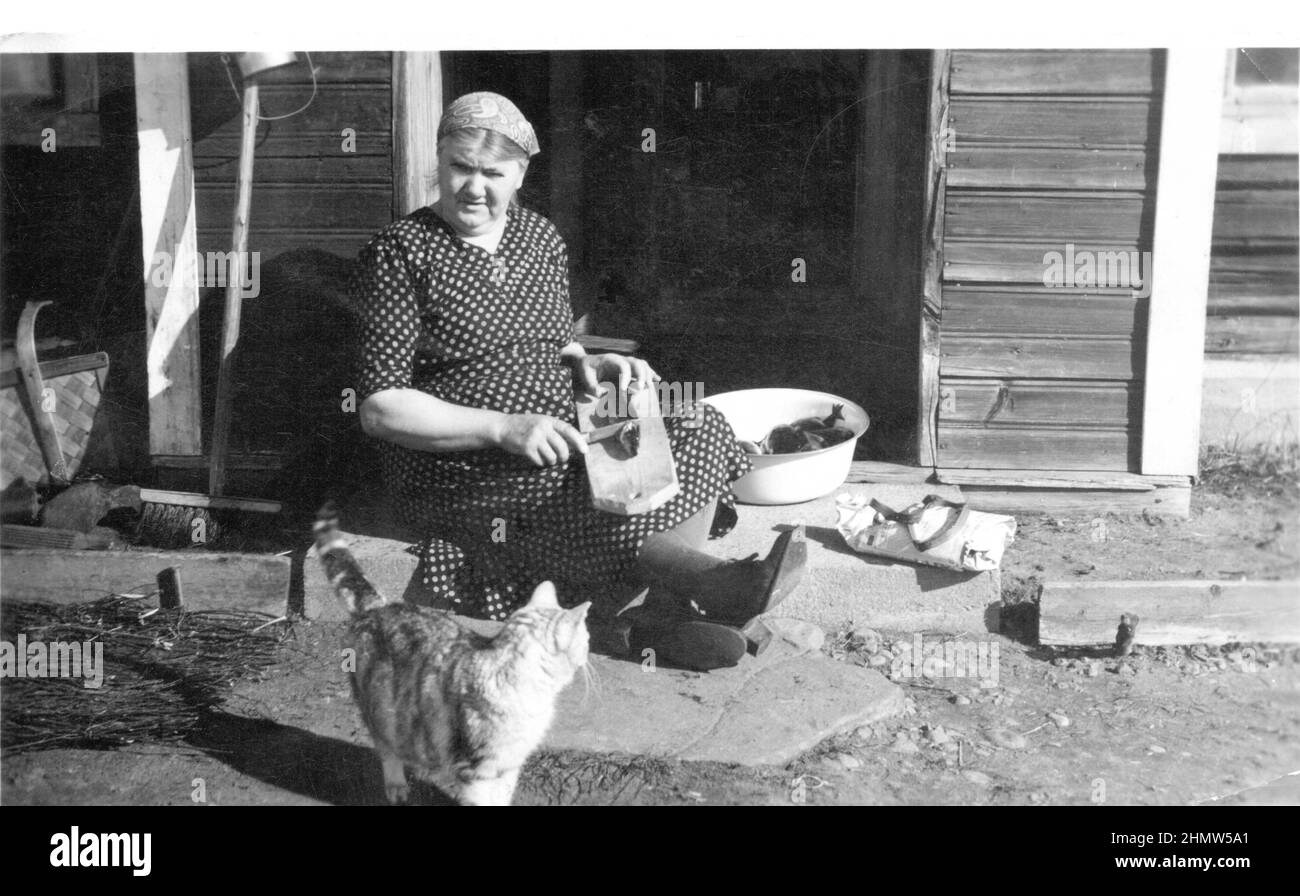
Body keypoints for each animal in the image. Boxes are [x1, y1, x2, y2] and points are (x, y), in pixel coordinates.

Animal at [317, 507, 592, 806]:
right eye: (586, 638)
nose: (589, 648)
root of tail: (378, 607)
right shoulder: (476, 769)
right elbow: (481, 801)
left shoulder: (509, 764)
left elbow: (503, 796)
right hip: (381, 713)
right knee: (387, 749)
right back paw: (397, 786)